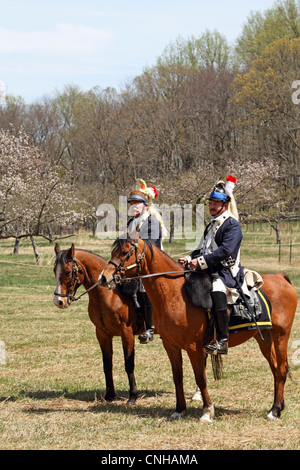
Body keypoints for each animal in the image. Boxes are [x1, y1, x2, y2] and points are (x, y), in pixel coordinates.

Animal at [52, 242, 143, 404]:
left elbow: (129, 364)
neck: (110, 295)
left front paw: (133, 396)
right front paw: (109, 395)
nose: (59, 301)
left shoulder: (127, 333)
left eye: (68, 272)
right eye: (54, 270)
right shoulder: (102, 334)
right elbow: (107, 365)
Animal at [99, 239, 298, 422]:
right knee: (275, 369)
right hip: (264, 338)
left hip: (281, 336)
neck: (174, 294)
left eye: (125, 252)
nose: (104, 277)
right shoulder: (170, 346)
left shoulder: (194, 347)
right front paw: (179, 410)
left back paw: (275, 411)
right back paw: (277, 407)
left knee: (281, 369)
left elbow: (200, 378)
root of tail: (281, 277)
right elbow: (177, 377)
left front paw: (207, 411)